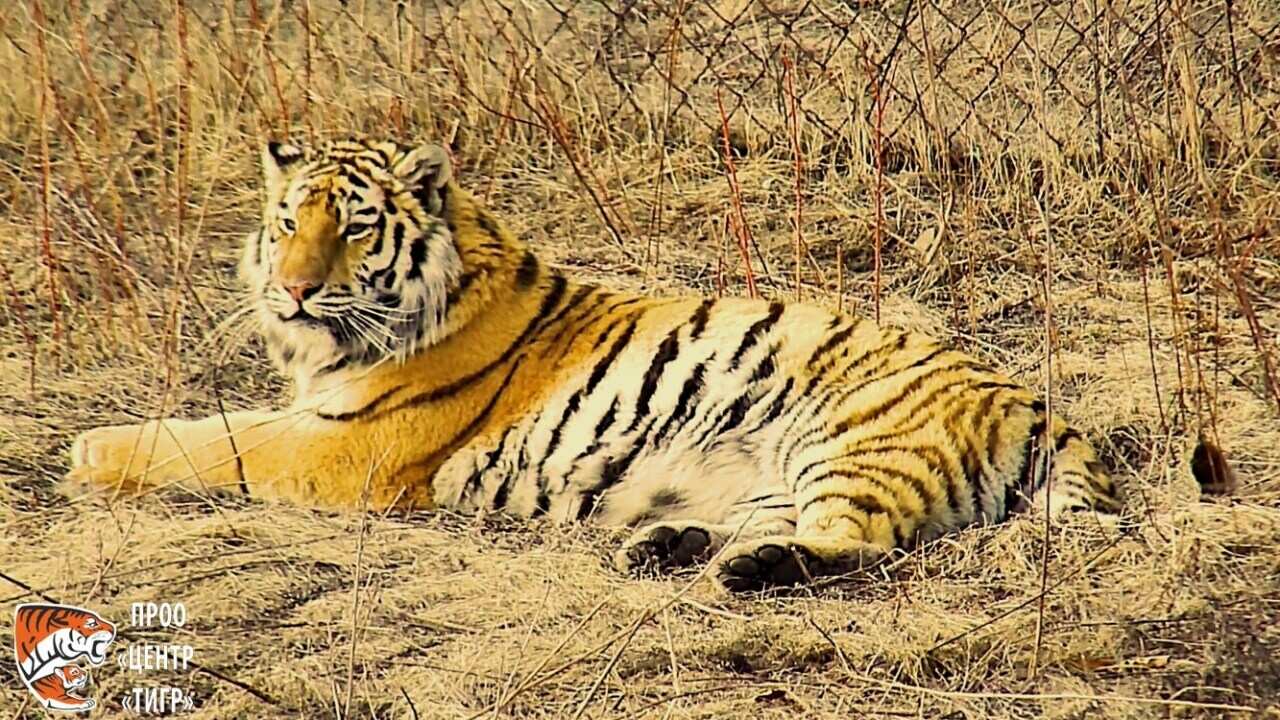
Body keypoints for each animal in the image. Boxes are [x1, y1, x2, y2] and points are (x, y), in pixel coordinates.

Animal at [63, 136, 1121, 591]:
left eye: (353, 228)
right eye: (287, 224)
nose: (289, 291)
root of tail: (1041, 403)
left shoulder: (342, 446)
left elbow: (206, 441)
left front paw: (84, 451)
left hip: (860, 443)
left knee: (863, 546)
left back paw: (749, 570)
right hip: (774, 469)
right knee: (771, 524)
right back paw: (668, 545)